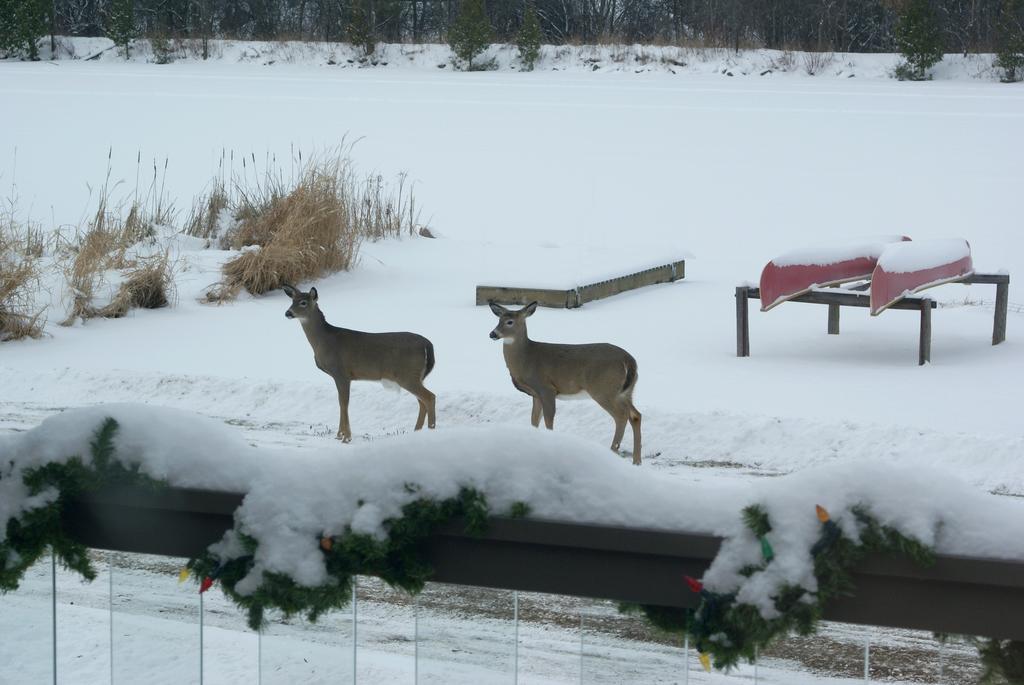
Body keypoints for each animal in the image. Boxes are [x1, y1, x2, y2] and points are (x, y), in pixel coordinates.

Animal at [284, 284, 436, 440]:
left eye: (303, 302)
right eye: (292, 301)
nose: (288, 313)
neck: (324, 341)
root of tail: (427, 344)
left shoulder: (341, 373)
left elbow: (343, 403)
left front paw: (345, 437)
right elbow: (341, 403)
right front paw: (339, 435)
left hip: (407, 375)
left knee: (430, 397)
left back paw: (431, 430)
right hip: (416, 376)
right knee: (422, 401)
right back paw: (417, 431)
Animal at [485, 301, 638, 464]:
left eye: (510, 322)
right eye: (498, 320)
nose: (492, 334)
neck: (526, 359)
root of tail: (629, 360)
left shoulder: (546, 388)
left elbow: (548, 420)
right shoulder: (536, 394)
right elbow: (534, 420)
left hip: (603, 389)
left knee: (621, 416)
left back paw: (613, 451)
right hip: (625, 391)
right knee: (635, 415)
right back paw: (636, 461)